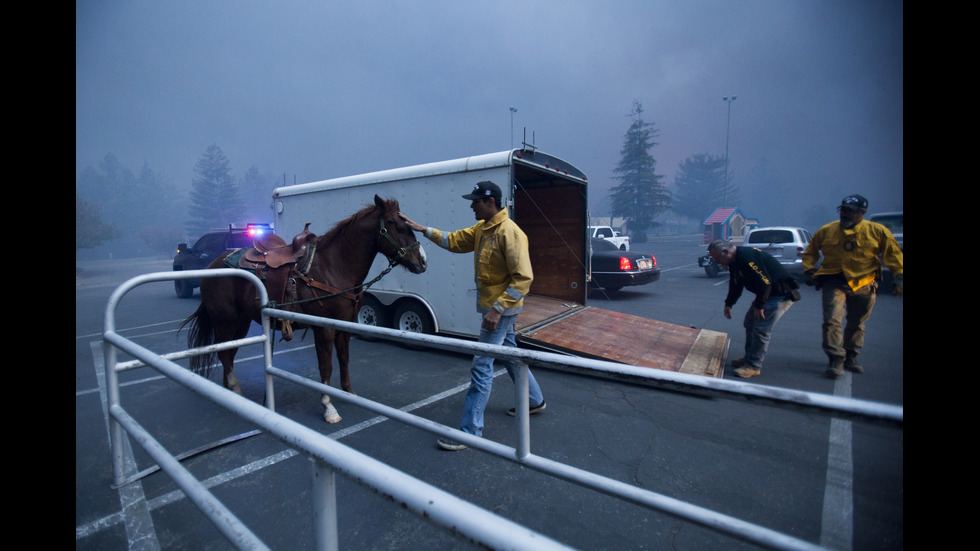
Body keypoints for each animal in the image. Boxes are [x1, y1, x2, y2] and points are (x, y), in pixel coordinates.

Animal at [182, 196, 426, 424]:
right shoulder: (324, 328)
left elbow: (344, 360)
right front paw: (329, 407)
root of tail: (211, 266)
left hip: (241, 322)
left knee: (229, 353)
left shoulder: (345, 326)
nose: (422, 261)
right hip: (226, 320)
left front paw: (349, 393)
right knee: (224, 353)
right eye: (399, 227)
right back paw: (235, 390)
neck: (333, 266)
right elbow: (326, 367)